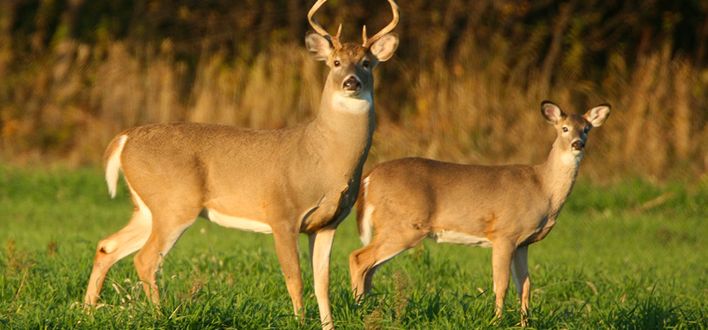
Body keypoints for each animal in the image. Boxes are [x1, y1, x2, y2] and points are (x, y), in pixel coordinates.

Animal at [83, 1, 398, 328]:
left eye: (366, 62)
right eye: (336, 62)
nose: (351, 82)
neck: (322, 158)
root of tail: (124, 138)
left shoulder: (327, 224)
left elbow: (322, 283)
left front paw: (328, 325)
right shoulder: (282, 214)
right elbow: (295, 279)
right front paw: (299, 321)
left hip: (148, 206)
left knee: (107, 246)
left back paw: (87, 312)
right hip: (175, 203)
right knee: (145, 259)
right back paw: (160, 315)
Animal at [348, 100, 608, 324]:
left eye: (586, 129)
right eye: (564, 128)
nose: (577, 143)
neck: (543, 187)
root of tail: (369, 178)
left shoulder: (523, 243)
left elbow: (525, 285)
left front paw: (525, 323)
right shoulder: (504, 233)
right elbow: (501, 284)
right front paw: (497, 321)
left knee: (370, 268)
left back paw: (369, 309)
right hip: (403, 226)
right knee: (358, 258)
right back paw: (358, 308)